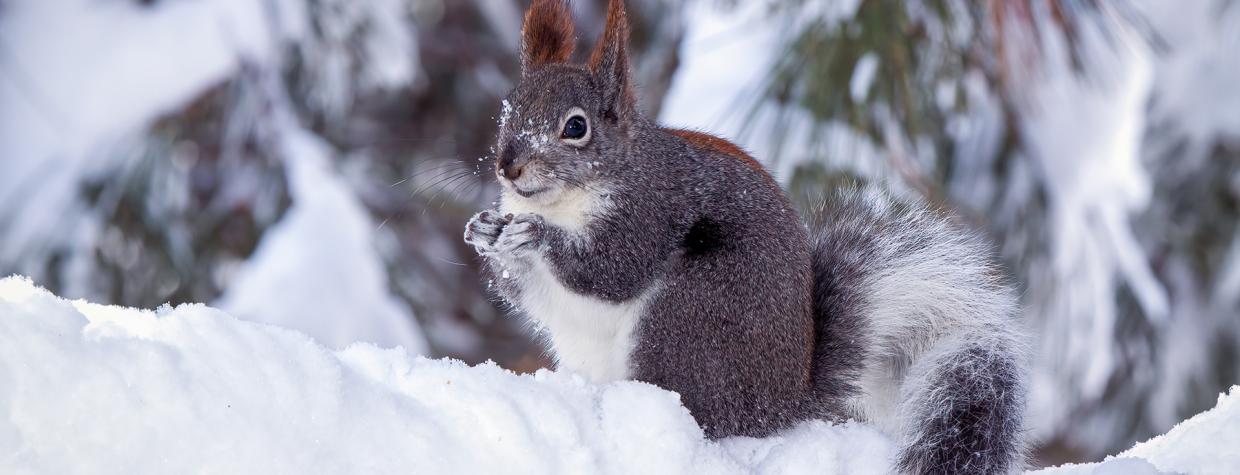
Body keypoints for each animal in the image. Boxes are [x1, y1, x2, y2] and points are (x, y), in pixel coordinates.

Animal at [466, 1, 1026, 473]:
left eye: (576, 127)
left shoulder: (650, 214)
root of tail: (786, 405)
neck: (562, 201)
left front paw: (536, 235)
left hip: (690, 316)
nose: (507, 167)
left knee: (703, 415)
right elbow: (525, 292)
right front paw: (484, 231)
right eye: (508, 107)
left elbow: (611, 271)